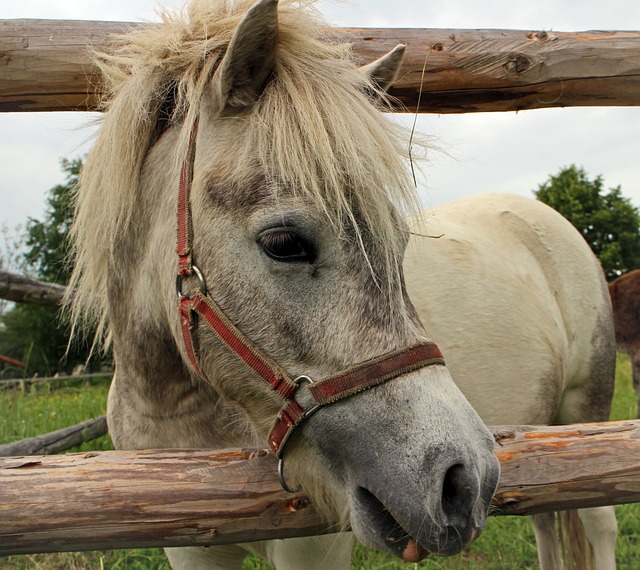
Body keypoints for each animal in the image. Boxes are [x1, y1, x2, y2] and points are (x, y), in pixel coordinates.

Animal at [66, 1, 616, 568]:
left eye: (401, 242)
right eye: (284, 242)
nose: (464, 482)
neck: (179, 411)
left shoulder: (312, 547)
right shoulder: (192, 550)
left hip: (583, 416)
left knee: (599, 522)